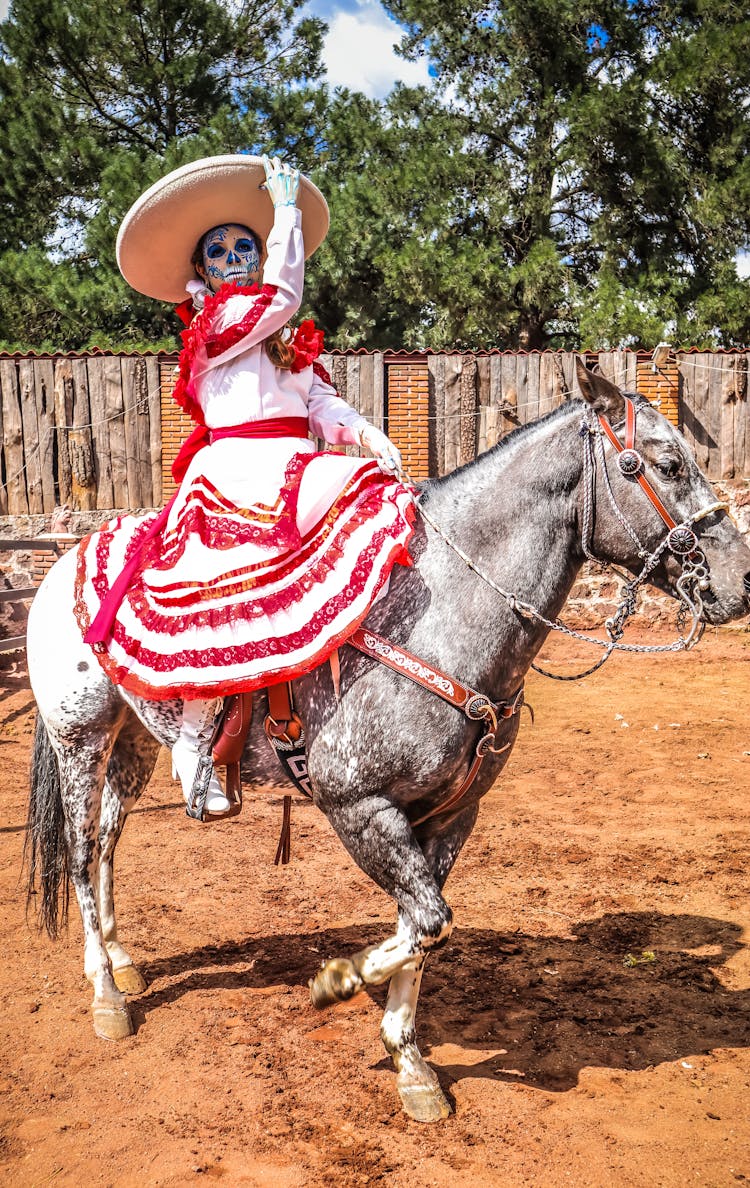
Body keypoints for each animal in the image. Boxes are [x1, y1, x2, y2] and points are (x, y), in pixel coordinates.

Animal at [23, 356, 750, 1116]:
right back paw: (106, 994)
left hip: (134, 742)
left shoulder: (451, 815)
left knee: (108, 842)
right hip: (79, 737)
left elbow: (423, 924)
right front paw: (338, 982)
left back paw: (124, 959)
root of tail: (69, 561)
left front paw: (410, 1063)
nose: (741, 581)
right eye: (666, 463)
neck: (441, 614)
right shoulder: (360, 807)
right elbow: (427, 921)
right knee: (78, 853)